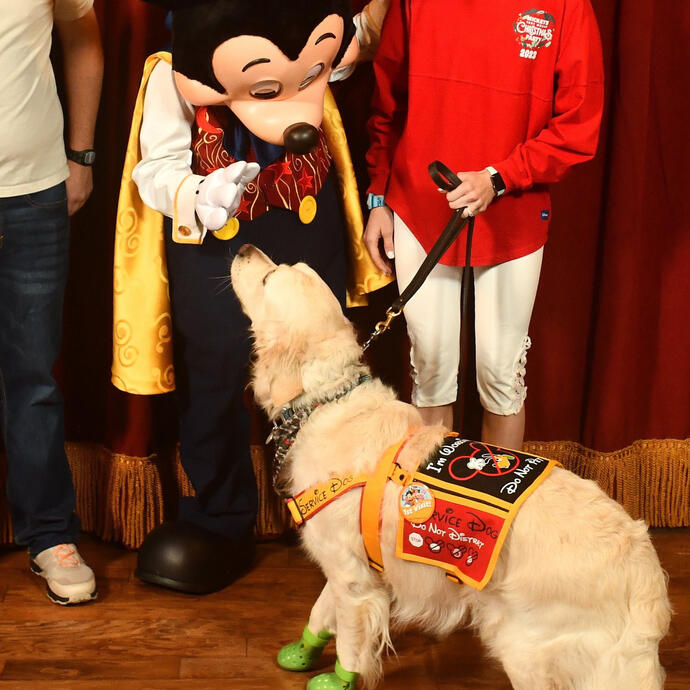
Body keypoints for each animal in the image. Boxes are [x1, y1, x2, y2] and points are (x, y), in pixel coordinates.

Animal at [230, 245, 668, 684]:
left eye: (269, 279)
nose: (243, 248)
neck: (326, 400)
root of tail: (645, 578)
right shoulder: (349, 565)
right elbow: (320, 611)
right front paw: (303, 651)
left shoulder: (352, 580)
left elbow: (351, 642)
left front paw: (338, 679)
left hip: (524, 646)